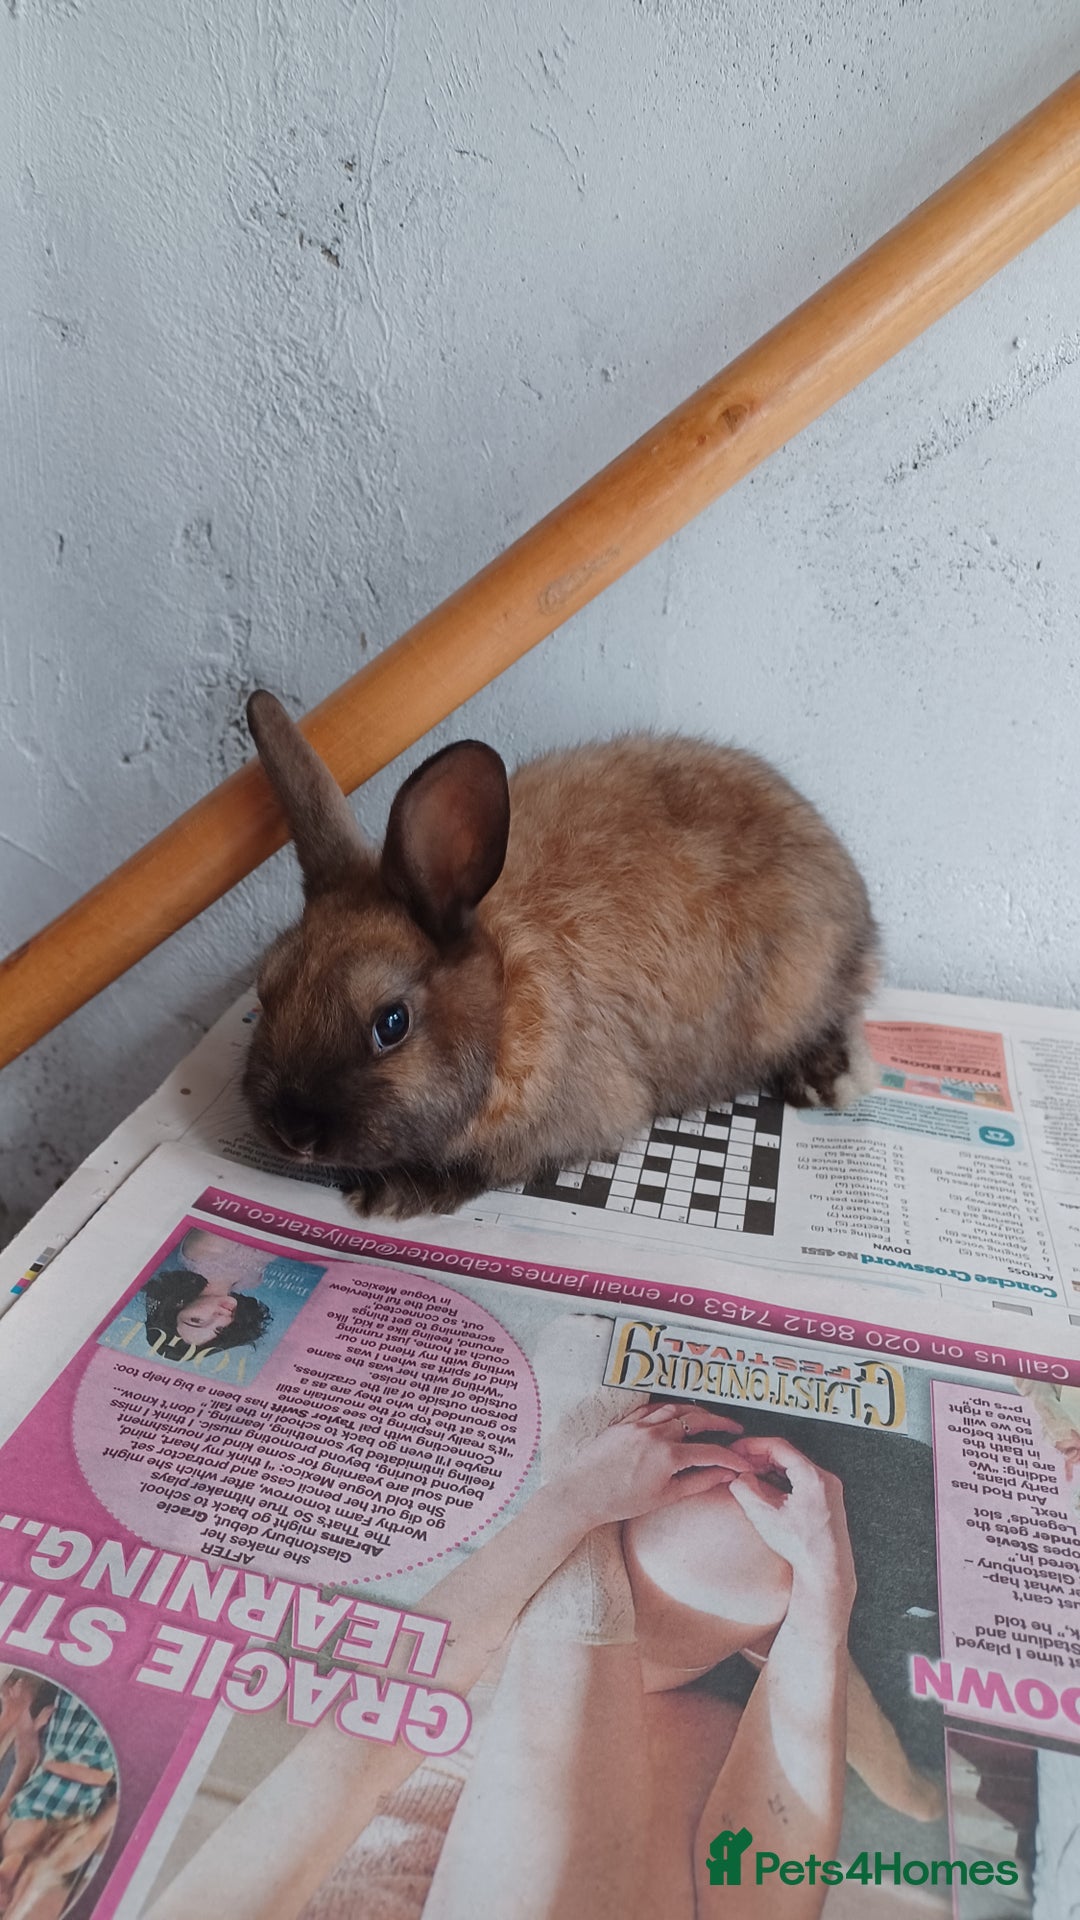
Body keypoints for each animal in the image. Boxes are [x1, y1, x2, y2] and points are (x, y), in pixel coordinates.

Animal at [242, 690, 879, 1220]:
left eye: (391, 1023)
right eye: (265, 989)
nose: (292, 1130)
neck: (503, 1012)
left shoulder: (582, 1117)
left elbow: (493, 1163)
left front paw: (390, 1195)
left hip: (802, 985)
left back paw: (825, 1079)